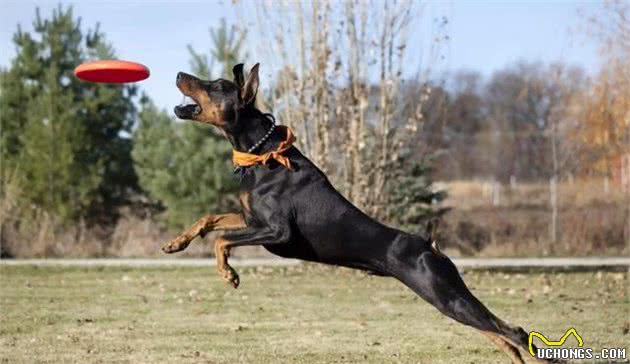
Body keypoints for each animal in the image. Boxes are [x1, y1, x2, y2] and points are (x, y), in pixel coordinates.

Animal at [162, 64, 552, 362]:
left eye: (217, 85)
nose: (179, 73)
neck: (262, 154)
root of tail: (431, 247)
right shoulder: (252, 219)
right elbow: (210, 220)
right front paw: (176, 243)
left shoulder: (277, 232)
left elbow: (223, 240)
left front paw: (228, 274)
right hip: (446, 298)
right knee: (498, 334)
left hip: (443, 292)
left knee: (511, 330)